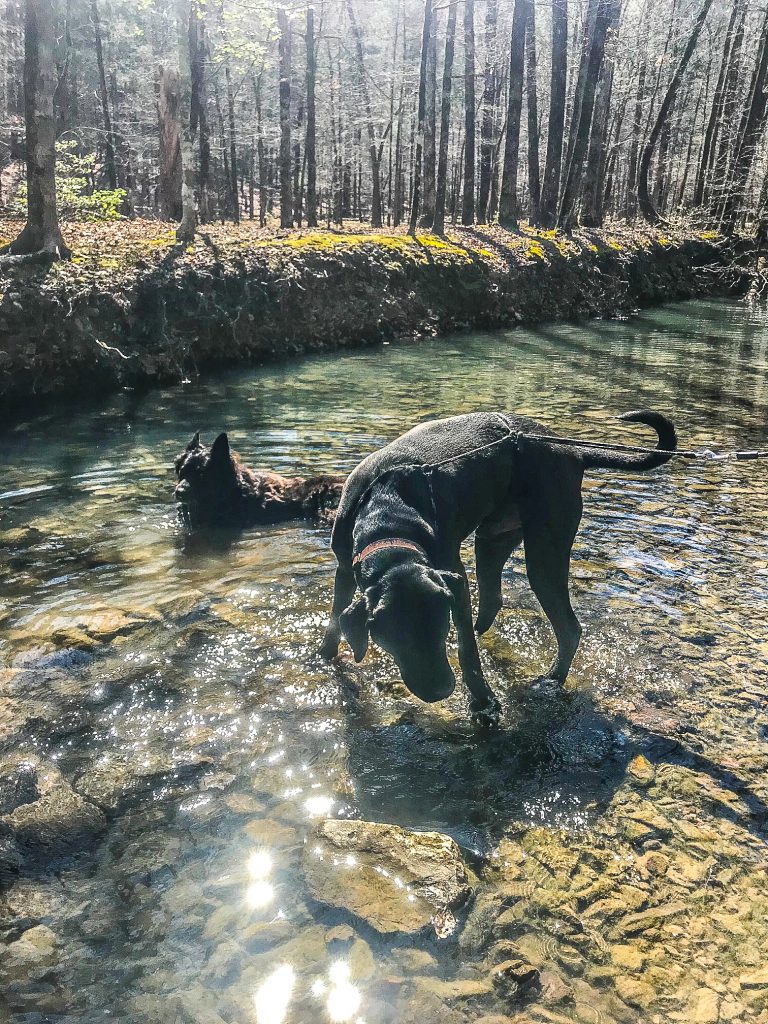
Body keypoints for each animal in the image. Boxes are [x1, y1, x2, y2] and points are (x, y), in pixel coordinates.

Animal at [321, 407, 675, 720]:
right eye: (397, 636)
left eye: (439, 626)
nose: (441, 691)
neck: (389, 517)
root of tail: (571, 450)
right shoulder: (345, 569)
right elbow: (336, 616)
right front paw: (325, 657)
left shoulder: (454, 578)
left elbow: (466, 651)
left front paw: (482, 702)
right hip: (492, 540)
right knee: (492, 600)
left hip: (544, 552)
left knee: (568, 627)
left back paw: (551, 679)